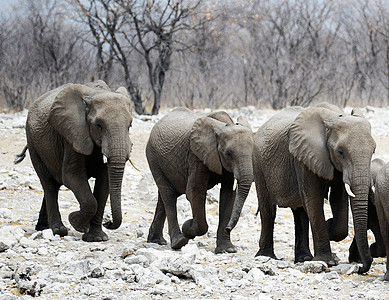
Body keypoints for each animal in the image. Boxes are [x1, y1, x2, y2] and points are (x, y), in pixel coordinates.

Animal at [14, 79, 133, 241]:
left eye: (130, 125)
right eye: (98, 125)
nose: (108, 222)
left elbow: (105, 180)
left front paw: (96, 237)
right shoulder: (72, 134)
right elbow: (72, 176)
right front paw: (77, 223)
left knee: (53, 185)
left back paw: (43, 228)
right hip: (33, 143)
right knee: (48, 184)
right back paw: (58, 230)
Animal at [146, 108, 255, 253]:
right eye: (228, 154)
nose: (228, 228)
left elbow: (228, 195)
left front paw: (227, 250)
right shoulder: (196, 156)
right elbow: (195, 192)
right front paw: (187, 227)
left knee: (164, 196)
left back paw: (157, 241)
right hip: (153, 156)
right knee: (168, 195)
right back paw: (178, 242)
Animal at [246, 103, 376, 274]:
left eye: (373, 151)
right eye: (340, 152)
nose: (360, 267)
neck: (332, 118)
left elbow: (338, 200)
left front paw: (329, 227)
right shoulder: (303, 157)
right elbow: (313, 199)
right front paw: (327, 260)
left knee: (300, 212)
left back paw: (304, 258)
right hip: (258, 164)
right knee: (268, 211)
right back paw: (266, 256)